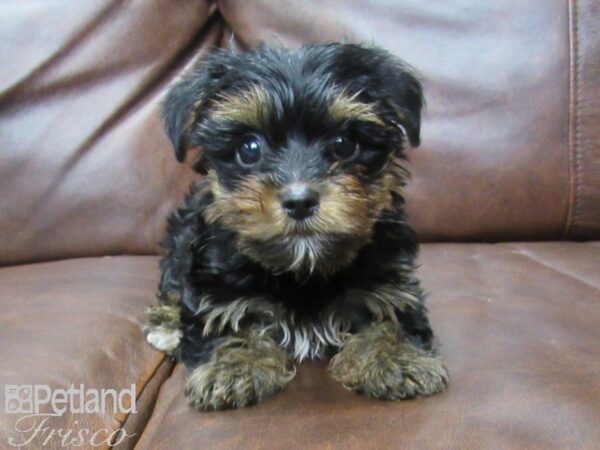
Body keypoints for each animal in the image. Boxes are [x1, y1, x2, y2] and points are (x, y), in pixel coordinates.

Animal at [143, 44, 448, 410]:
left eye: (344, 144)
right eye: (249, 148)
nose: (300, 200)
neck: (303, 270)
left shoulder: (389, 275)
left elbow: (392, 314)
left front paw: (395, 357)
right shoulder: (214, 280)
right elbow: (221, 318)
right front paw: (233, 367)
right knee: (174, 283)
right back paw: (166, 323)